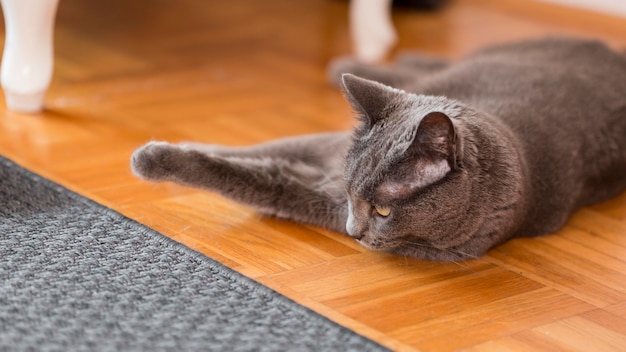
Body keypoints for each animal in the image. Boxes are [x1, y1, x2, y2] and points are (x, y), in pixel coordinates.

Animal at [132, 37, 624, 262]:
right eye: (351, 193)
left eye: (383, 211)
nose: (353, 231)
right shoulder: (327, 147)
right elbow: (265, 146)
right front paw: (155, 151)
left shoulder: (315, 198)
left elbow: (254, 179)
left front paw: (151, 159)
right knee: (428, 63)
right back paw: (352, 63)